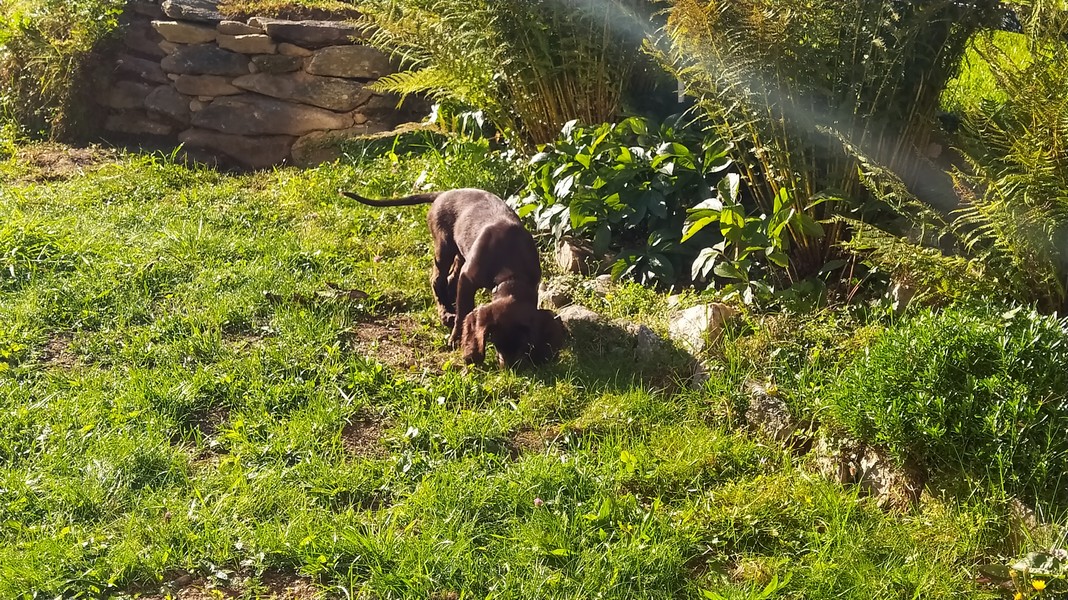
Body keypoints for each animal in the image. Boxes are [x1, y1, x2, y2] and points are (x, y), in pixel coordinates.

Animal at [340, 188, 565, 367]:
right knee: (437, 280)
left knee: (449, 281)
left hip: (459, 252)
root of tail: (443, 193)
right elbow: (465, 311)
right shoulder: (468, 278)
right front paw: (457, 339)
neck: (512, 272)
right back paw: (445, 313)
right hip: (444, 246)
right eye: (494, 341)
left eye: (524, 343)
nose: (511, 368)